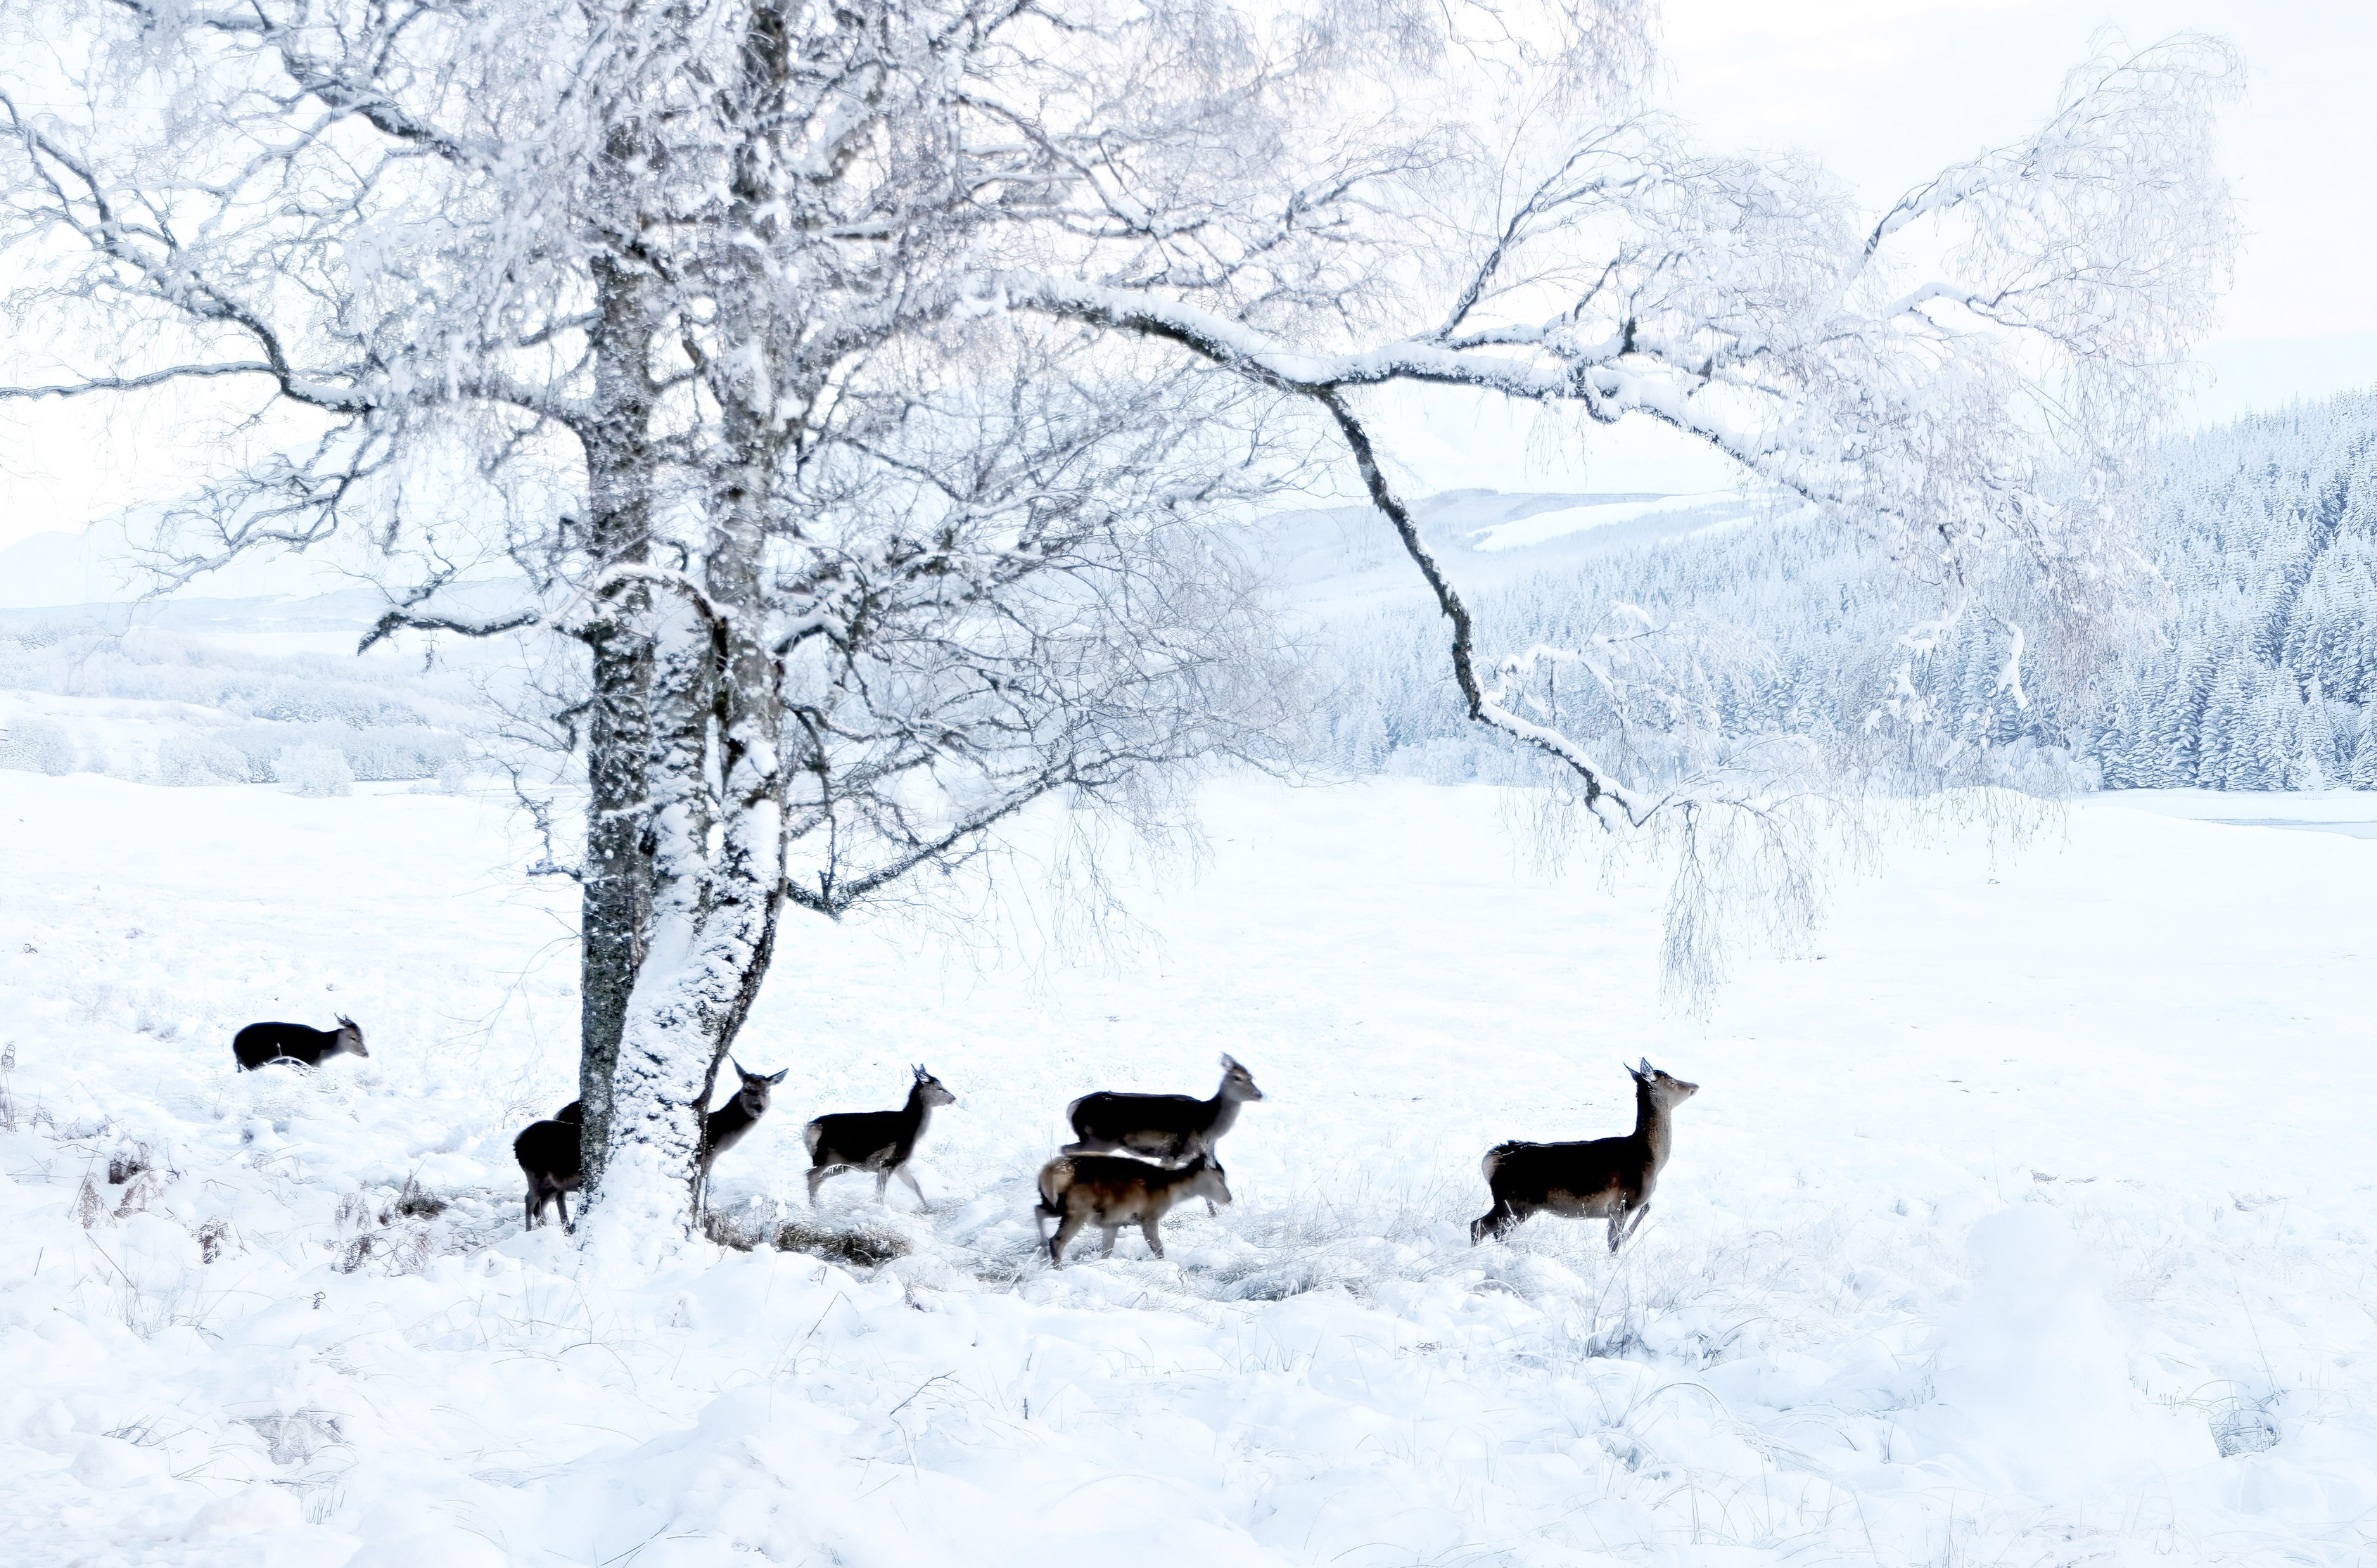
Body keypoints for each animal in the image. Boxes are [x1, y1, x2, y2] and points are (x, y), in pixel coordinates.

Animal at [514, 1100, 583, 1232]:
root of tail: (516, 1144)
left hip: (552, 1185)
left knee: (540, 1205)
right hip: (537, 1175)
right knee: (530, 1200)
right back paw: (529, 1231)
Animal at [801, 1065, 958, 1208]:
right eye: (940, 1088)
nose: (953, 1098)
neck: (911, 1128)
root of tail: (811, 1127)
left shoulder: (899, 1164)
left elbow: (916, 1186)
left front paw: (928, 1208)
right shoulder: (889, 1162)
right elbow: (880, 1193)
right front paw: (881, 1208)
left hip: (838, 1160)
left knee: (819, 1178)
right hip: (827, 1156)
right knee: (811, 1176)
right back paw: (814, 1206)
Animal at [1035, 1150, 1231, 1267]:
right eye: (1220, 1178)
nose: (1229, 1198)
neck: (1171, 1190)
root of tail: (1047, 1172)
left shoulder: (1112, 1224)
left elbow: (1107, 1250)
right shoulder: (1149, 1216)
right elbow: (1157, 1247)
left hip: (1056, 1204)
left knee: (1038, 1209)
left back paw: (1043, 1250)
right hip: (1079, 1209)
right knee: (1057, 1240)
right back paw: (1058, 1266)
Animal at [1471, 1058, 1699, 1252]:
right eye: (1670, 1079)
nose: (1695, 1086)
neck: (1654, 1161)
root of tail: (1490, 1161)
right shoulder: (1623, 1205)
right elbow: (1614, 1244)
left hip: (1513, 1205)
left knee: (1495, 1231)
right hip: (1515, 1202)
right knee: (1480, 1225)